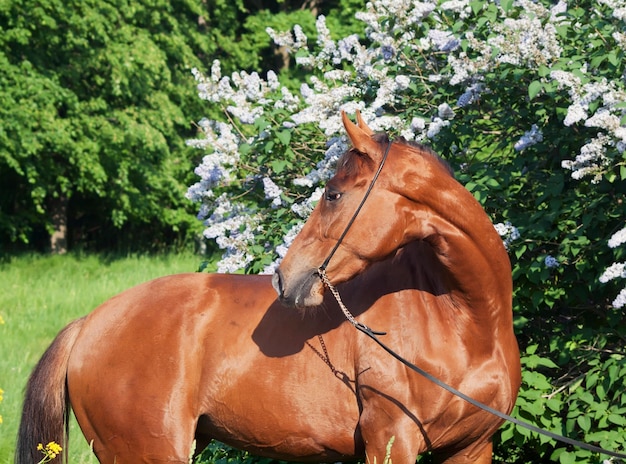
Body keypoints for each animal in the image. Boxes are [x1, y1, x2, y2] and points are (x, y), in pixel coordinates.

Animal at [17, 112, 520, 464]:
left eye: (333, 194)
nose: (285, 276)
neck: (462, 322)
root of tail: (89, 323)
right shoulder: (391, 440)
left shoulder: (471, 447)